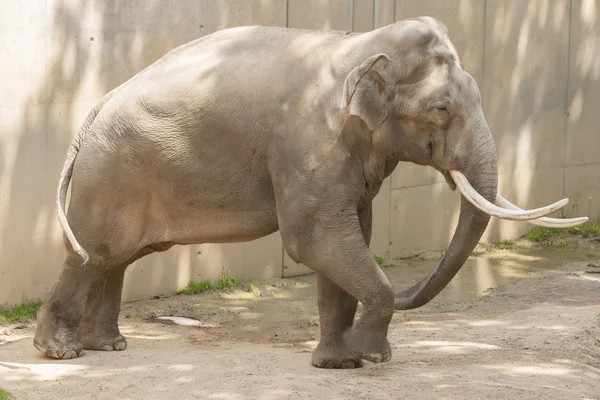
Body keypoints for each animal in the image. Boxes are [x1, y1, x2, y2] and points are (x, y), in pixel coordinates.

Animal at [31, 18, 584, 368]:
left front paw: (340, 363)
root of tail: (95, 108)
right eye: (443, 108)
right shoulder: (309, 144)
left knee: (113, 259)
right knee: (94, 252)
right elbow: (316, 239)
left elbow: (349, 235)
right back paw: (62, 353)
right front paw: (371, 355)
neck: (360, 44)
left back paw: (108, 348)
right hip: (110, 174)